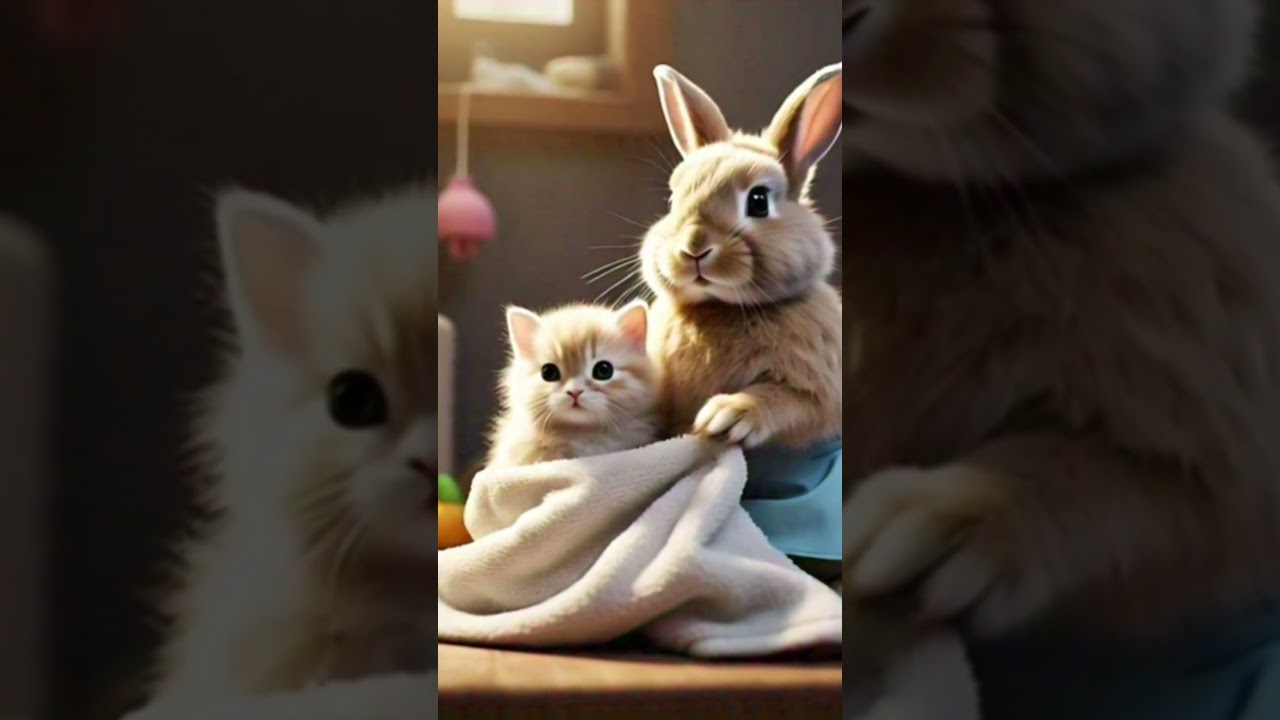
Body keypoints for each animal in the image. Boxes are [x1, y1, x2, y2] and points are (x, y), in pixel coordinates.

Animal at [641, 63, 982, 720]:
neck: (728, 310)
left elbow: (785, 405)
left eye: (758, 200)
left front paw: (725, 418)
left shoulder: (817, 393)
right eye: (672, 197)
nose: (694, 249)